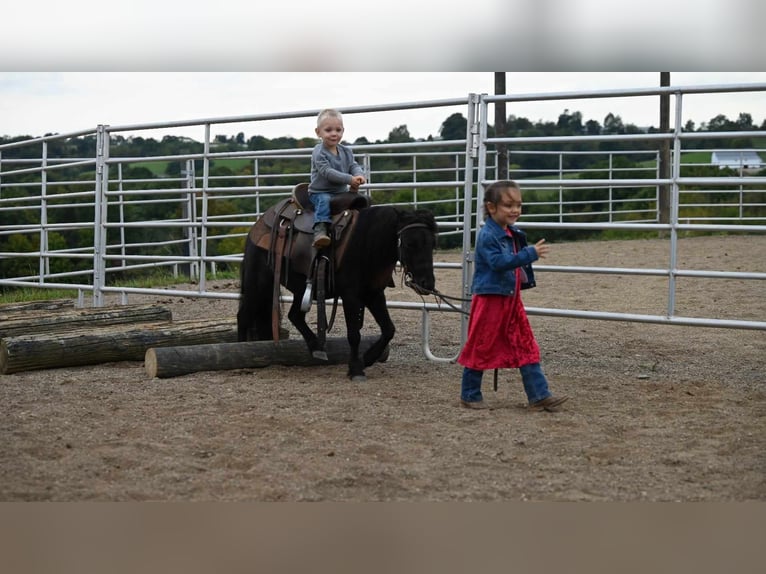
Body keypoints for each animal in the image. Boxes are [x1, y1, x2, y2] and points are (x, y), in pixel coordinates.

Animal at [237, 204, 438, 382]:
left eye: (432, 244)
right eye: (409, 243)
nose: (426, 283)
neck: (365, 244)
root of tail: (259, 223)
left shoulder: (374, 294)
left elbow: (388, 329)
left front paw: (367, 359)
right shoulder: (350, 296)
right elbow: (354, 334)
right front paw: (356, 369)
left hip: (300, 289)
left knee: (294, 316)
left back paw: (316, 347)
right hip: (258, 283)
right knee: (244, 315)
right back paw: (239, 351)